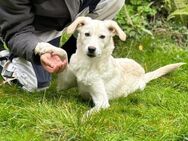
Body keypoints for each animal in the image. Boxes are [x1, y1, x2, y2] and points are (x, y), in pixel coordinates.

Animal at [35, 16, 184, 115]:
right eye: (87, 34)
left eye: (102, 36)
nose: (91, 49)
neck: (89, 65)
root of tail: (143, 73)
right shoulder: (63, 84)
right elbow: (65, 53)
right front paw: (45, 47)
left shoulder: (102, 102)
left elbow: (88, 113)